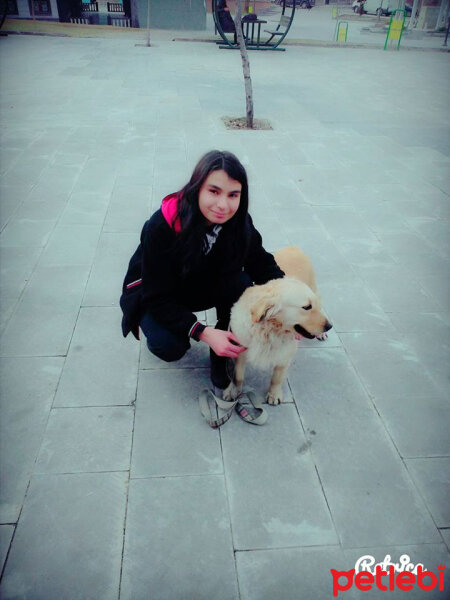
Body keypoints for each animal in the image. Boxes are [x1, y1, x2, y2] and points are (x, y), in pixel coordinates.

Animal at [224, 246, 332, 406]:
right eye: (306, 307)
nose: (329, 326)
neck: (270, 331)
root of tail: (293, 247)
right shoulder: (240, 350)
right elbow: (238, 376)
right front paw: (233, 391)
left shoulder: (286, 353)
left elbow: (277, 378)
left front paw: (274, 394)